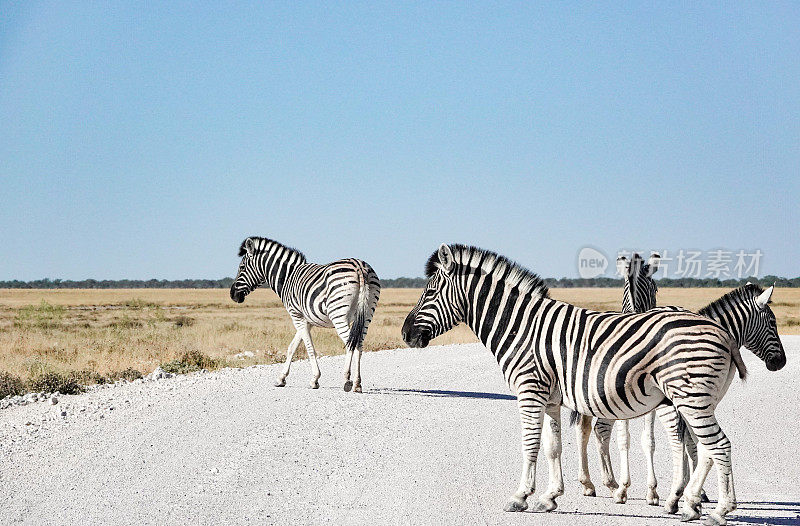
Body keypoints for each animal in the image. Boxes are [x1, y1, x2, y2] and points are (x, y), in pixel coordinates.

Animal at [231, 237, 382, 394]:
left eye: (242, 267)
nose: (233, 295)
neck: (287, 278)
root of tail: (359, 266)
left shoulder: (296, 315)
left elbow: (309, 348)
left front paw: (314, 379)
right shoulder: (306, 320)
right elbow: (292, 347)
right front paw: (281, 378)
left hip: (338, 314)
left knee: (351, 344)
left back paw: (348, 380)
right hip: (367, 314)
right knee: (360, 344)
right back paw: (357, 384)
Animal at [404, 245, 752, 524]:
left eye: (430, 293)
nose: (406, 335)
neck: (521, 328)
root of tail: (722, 333)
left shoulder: (529, 391)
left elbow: (530, 444)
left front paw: (520, 497)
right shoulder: (550, 398)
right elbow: (553, 447)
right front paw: (550, 497)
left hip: (690, 397)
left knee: (719, 445)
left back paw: (719, 511)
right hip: (698, 399)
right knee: (706, 448)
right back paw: (693, 505)